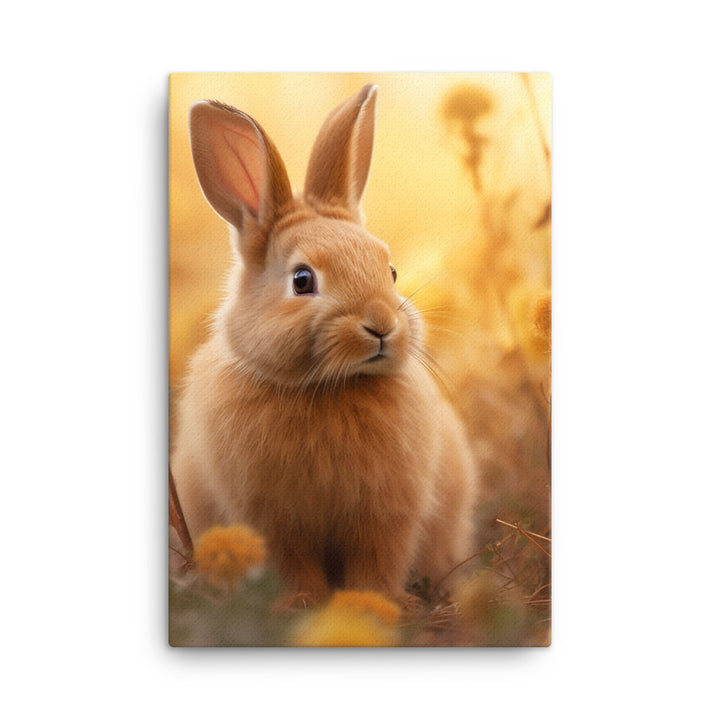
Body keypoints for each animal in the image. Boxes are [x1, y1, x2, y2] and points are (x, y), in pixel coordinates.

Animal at [171, 84, 477, 605]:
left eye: (390, 271)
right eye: (302, 280)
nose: (380, 326)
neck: (331, 388)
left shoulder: (387, 512)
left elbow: (378, 560)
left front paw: (371, 604)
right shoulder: (272, 519)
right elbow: (293, 564)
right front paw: (302, 605)